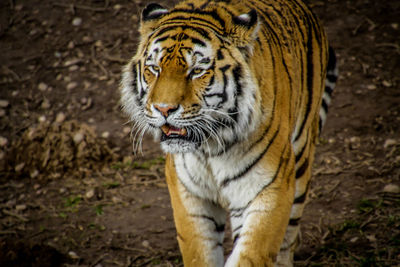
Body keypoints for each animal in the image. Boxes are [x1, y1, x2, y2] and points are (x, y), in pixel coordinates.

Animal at [119, 0, 338, 266]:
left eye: (197, 71)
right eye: (154, 68)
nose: (164, 109)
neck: (209, 146)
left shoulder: (268, 188)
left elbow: (251, 253)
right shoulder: (188, 193)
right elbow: (199, 253)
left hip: (301, 160)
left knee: (289, 238)